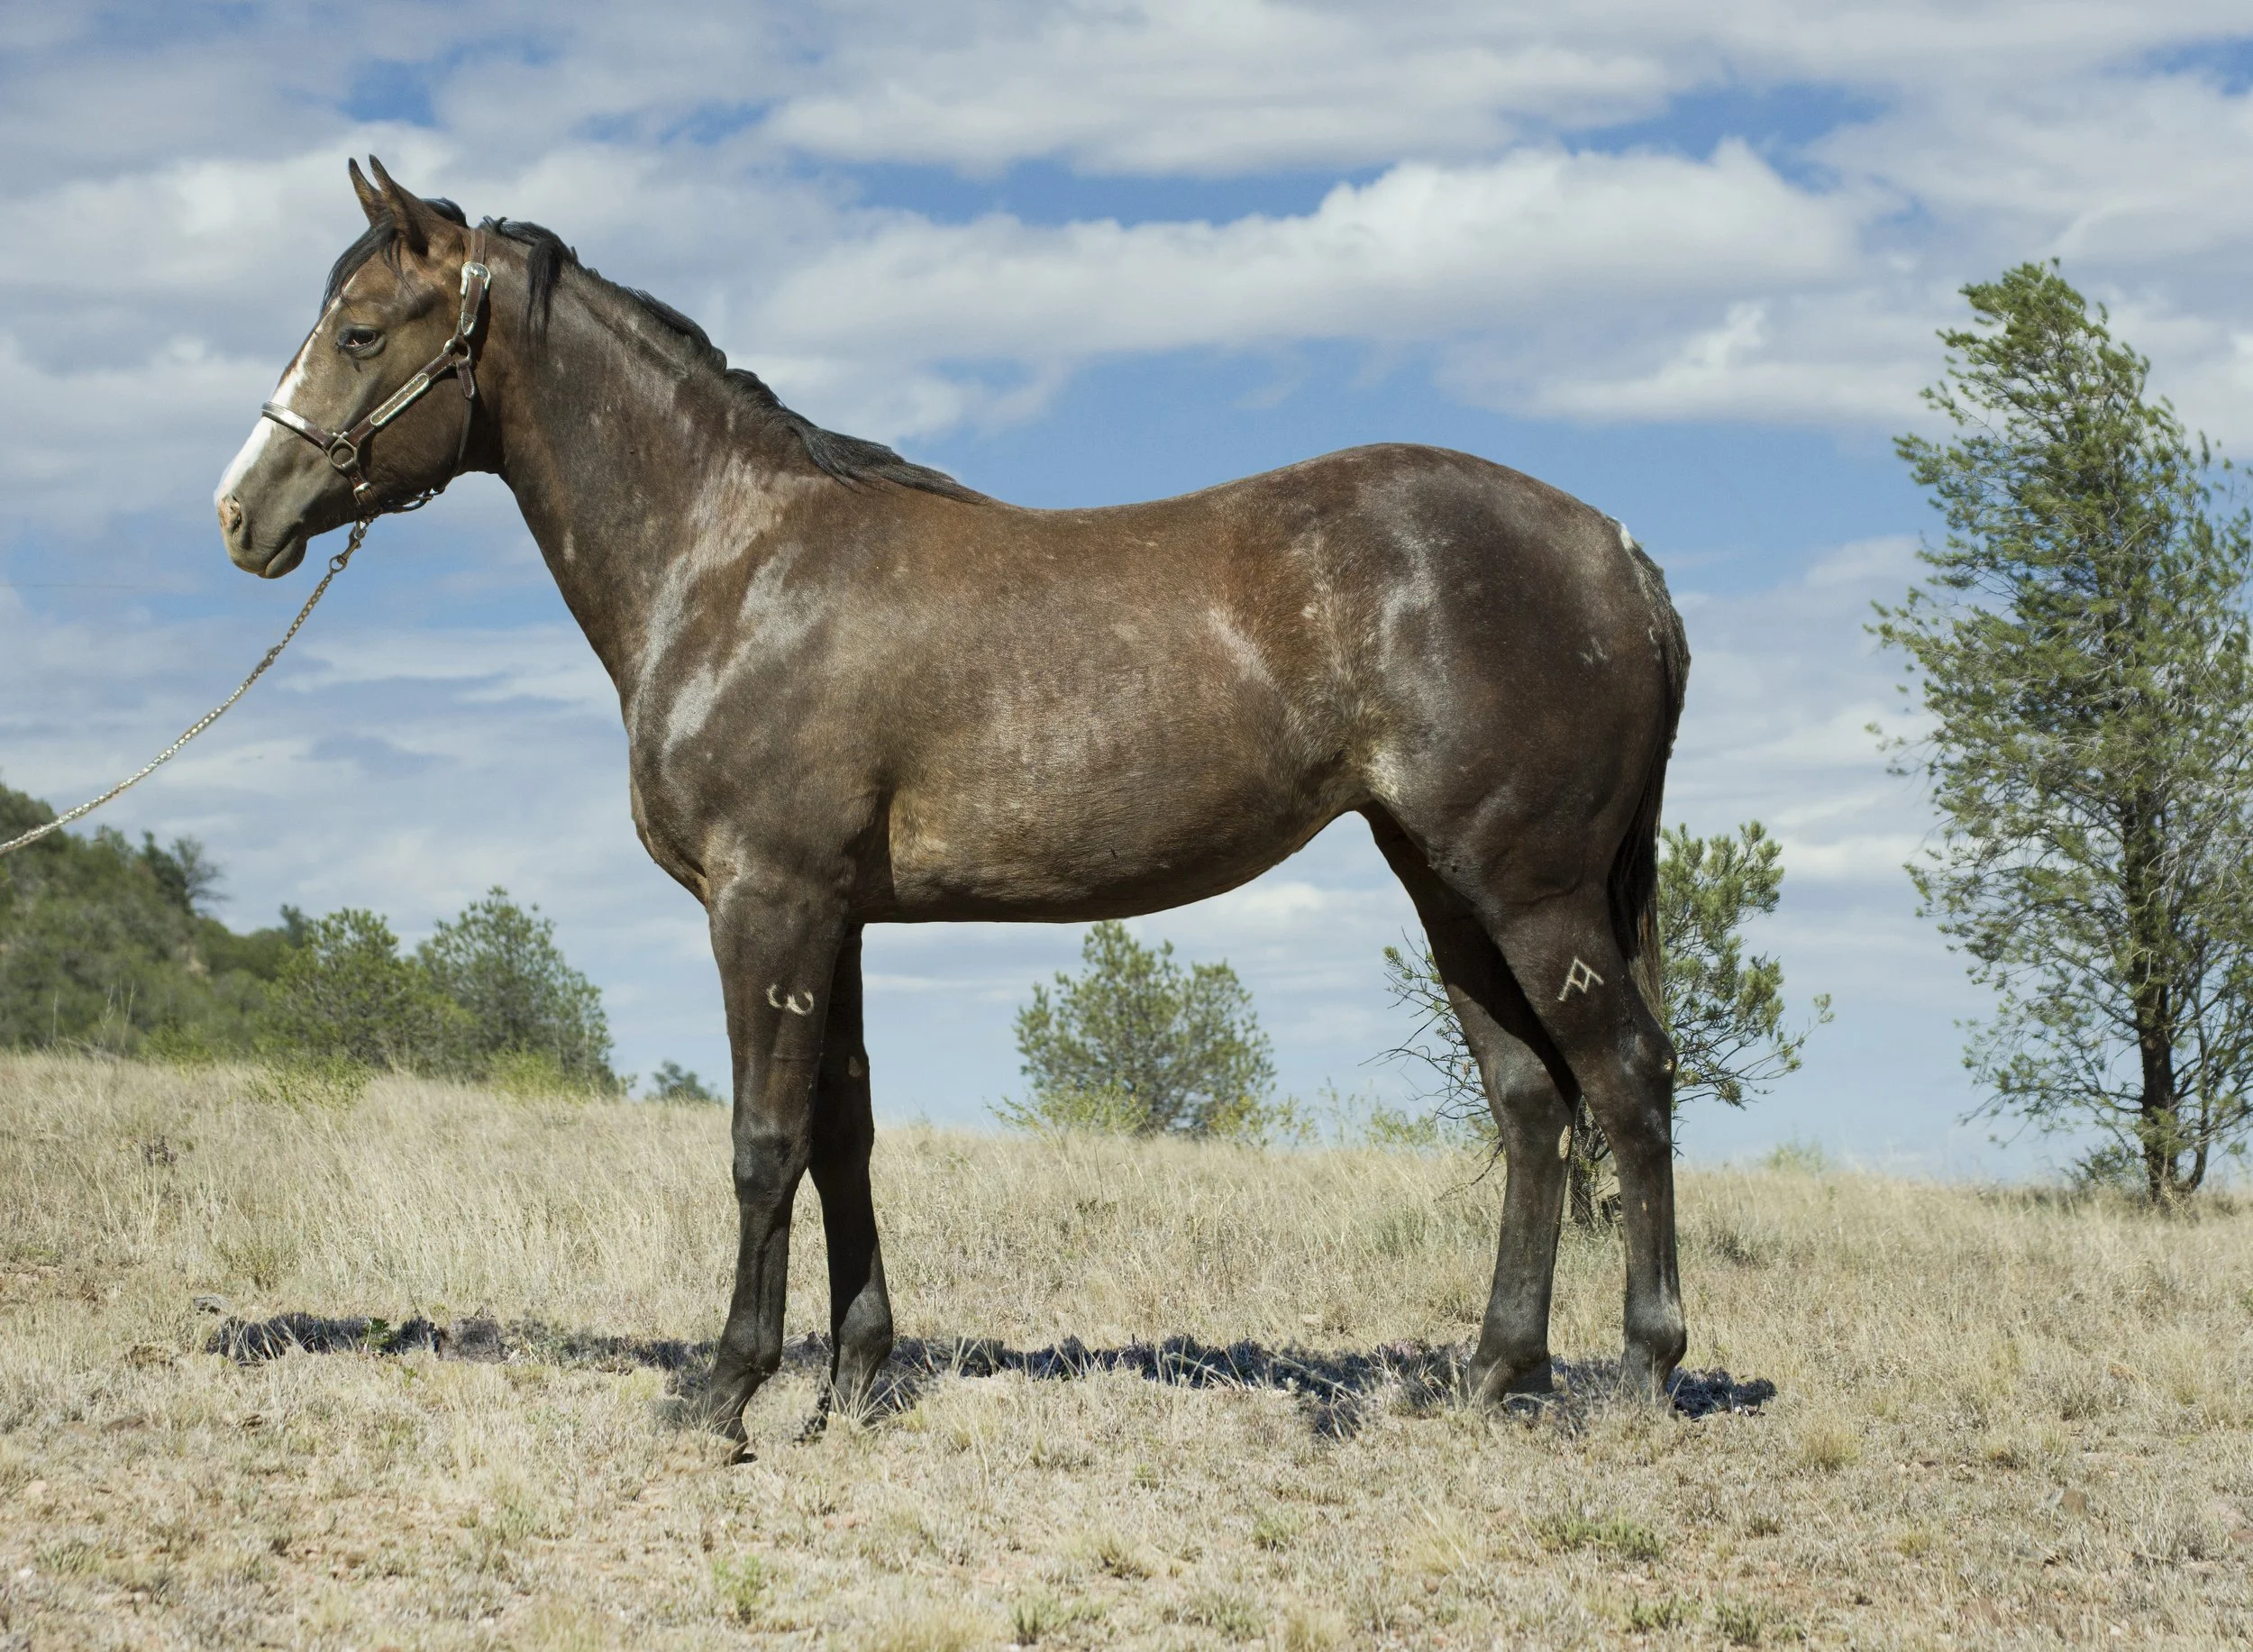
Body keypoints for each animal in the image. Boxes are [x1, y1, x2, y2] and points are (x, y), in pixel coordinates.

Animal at [214, 159, 1692, 1443]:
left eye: (358, 330)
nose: (238, 514)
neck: (736, 564)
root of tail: (1618, 553)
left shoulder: (768, 902)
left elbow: (762, 1144)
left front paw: (726, 1390)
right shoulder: (840, 919)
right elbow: (844, 1135)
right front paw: (855, 1381)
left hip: (1533, 889)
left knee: (1625, 1080)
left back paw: (1643, 1371)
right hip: (1444, 885)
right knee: (1530, 1103)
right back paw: (1490, 1375)